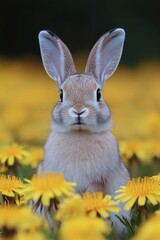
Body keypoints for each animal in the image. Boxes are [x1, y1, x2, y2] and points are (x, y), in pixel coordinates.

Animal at [37, 27, 130, 234]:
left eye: (98, 94)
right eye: (61, 95)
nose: (78, 110)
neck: (79, 134)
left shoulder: (99, 178)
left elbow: (93, 193)